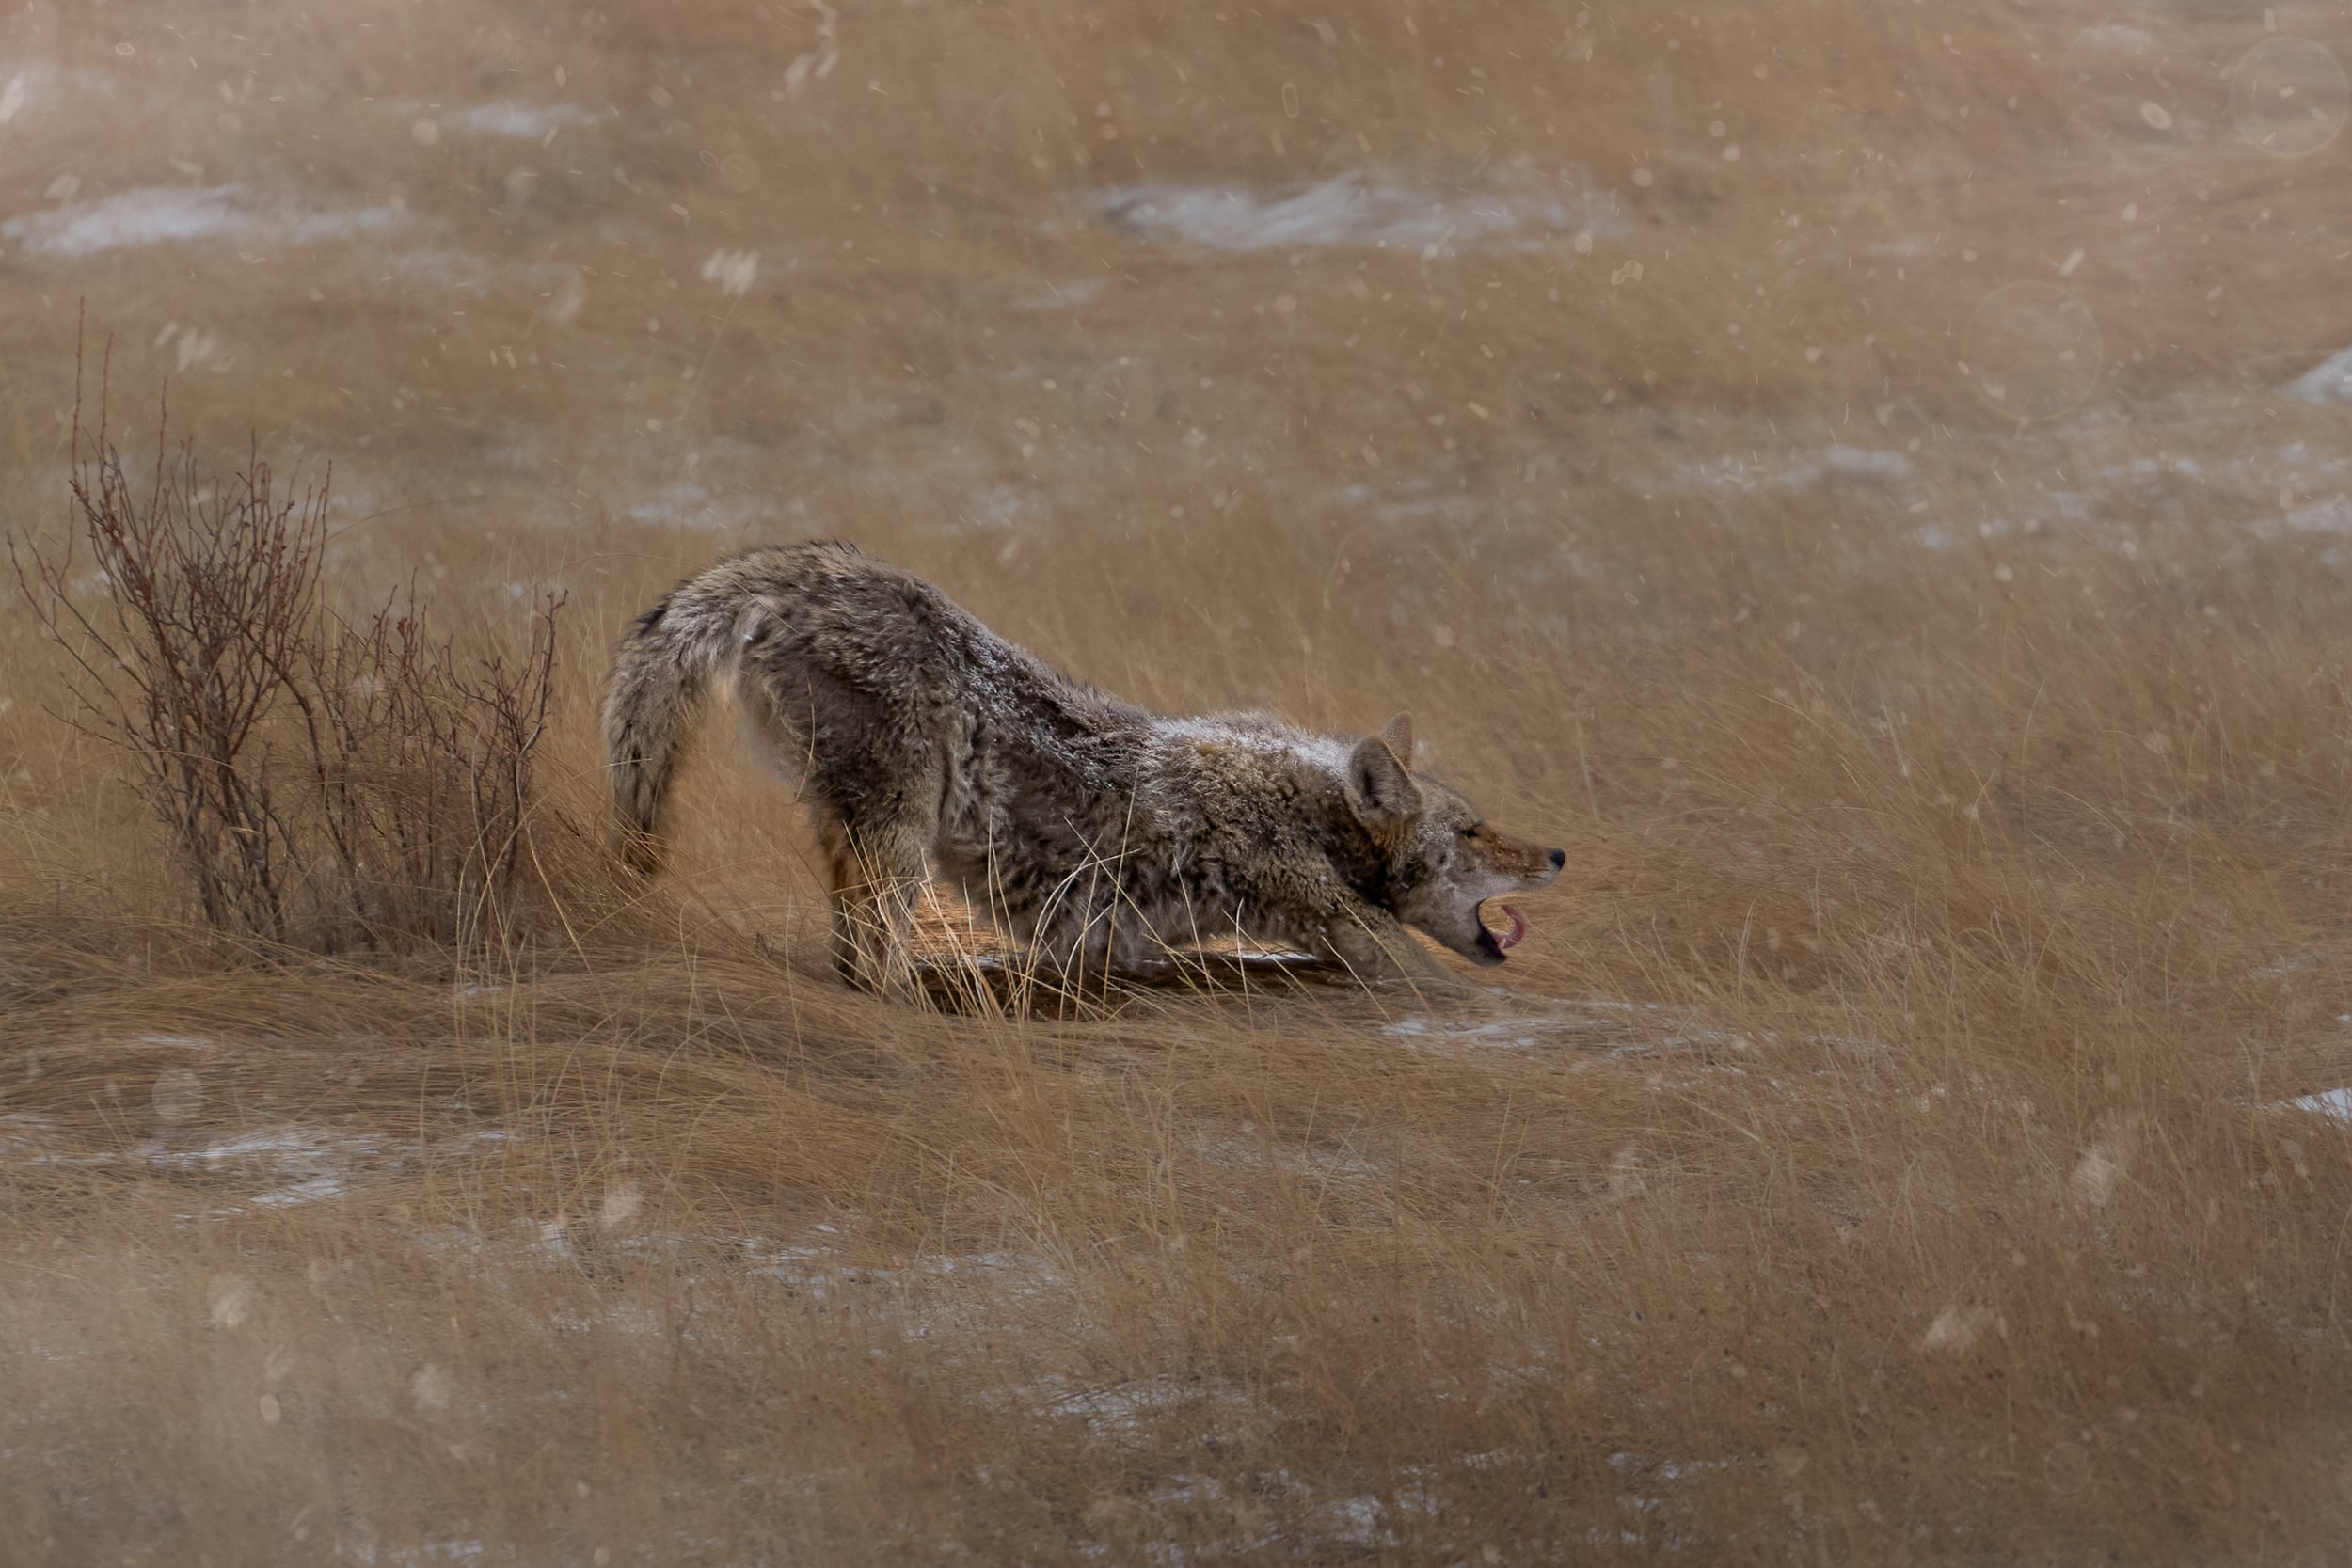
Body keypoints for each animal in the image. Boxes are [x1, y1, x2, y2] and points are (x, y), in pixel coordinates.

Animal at [603, 540, 1563, 997]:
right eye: (1474, 829)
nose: (1559, 854)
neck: (1302, 803)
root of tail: (813, 567)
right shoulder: (1349, 932)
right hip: (901, 841)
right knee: (871, 959)